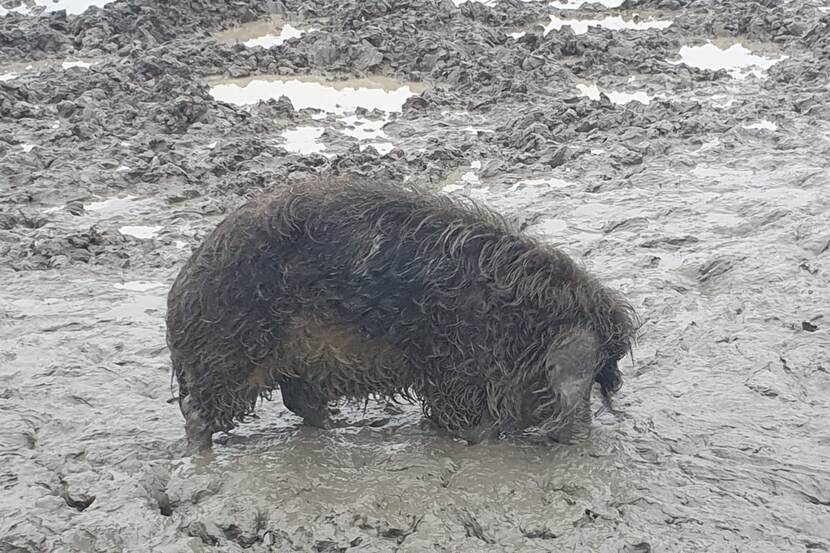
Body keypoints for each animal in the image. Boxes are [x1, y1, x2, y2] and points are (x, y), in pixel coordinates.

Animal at [167, 179, 636, 450]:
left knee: (299, 401)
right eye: (594, 371)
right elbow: (469, 420)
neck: (522, 322)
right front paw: (480, 438)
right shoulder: (458, 364)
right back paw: (199, 457)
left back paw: (342, 428)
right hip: (230, 352)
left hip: (295, 361)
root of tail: (181, 293)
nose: (577, 439)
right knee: (197, 412)